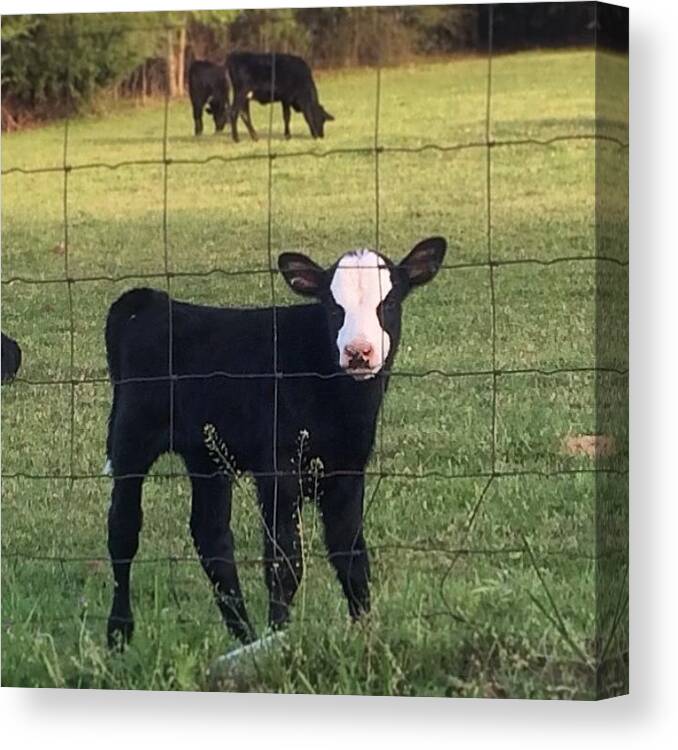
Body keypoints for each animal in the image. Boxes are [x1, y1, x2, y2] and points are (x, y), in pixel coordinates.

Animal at [105, 236, 446, 652]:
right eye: (333, 306)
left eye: (391, 302)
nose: (358, 352)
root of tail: (150, 301)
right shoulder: (277, 470)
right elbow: (285, 562)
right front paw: (279, 636)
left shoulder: (349, 471)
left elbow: (351, 556)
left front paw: (365, 634)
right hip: (131, 439)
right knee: (123, 530)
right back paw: (118, 635)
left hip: (205, 455)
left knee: (211, 536)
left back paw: (242, 635)